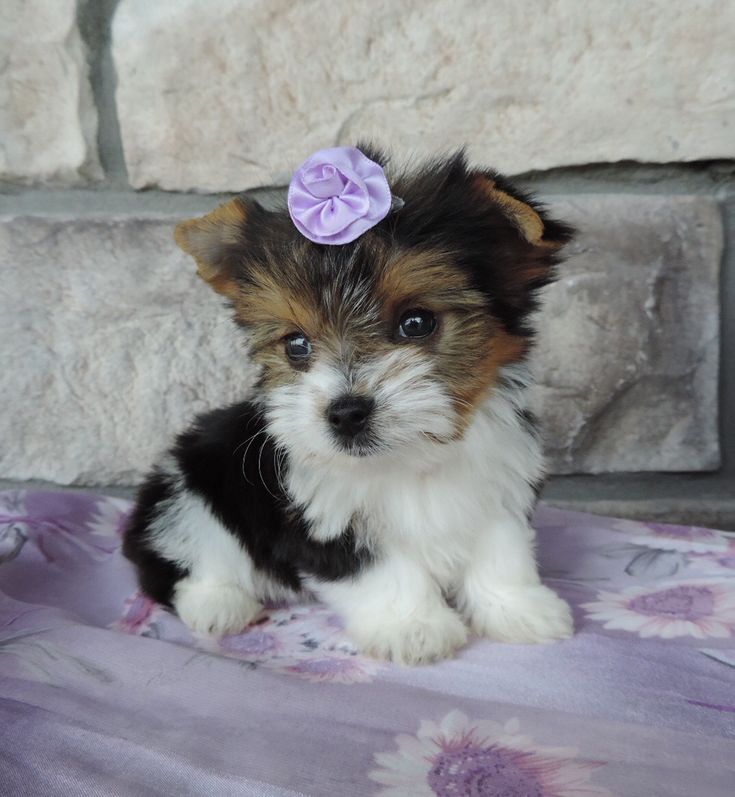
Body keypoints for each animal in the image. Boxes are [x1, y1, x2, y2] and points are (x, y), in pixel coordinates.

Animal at [123, 146, 576, 664]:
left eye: (416, 323)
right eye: (296, 345)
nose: (345, 413)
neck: (411, 460)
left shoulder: (500, 484)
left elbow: (502, 550)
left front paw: (519, 609)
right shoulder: (324, 515)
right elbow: (380, 571)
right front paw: (413, 627)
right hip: (190, 489)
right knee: (185, 555)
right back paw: (217, 604)